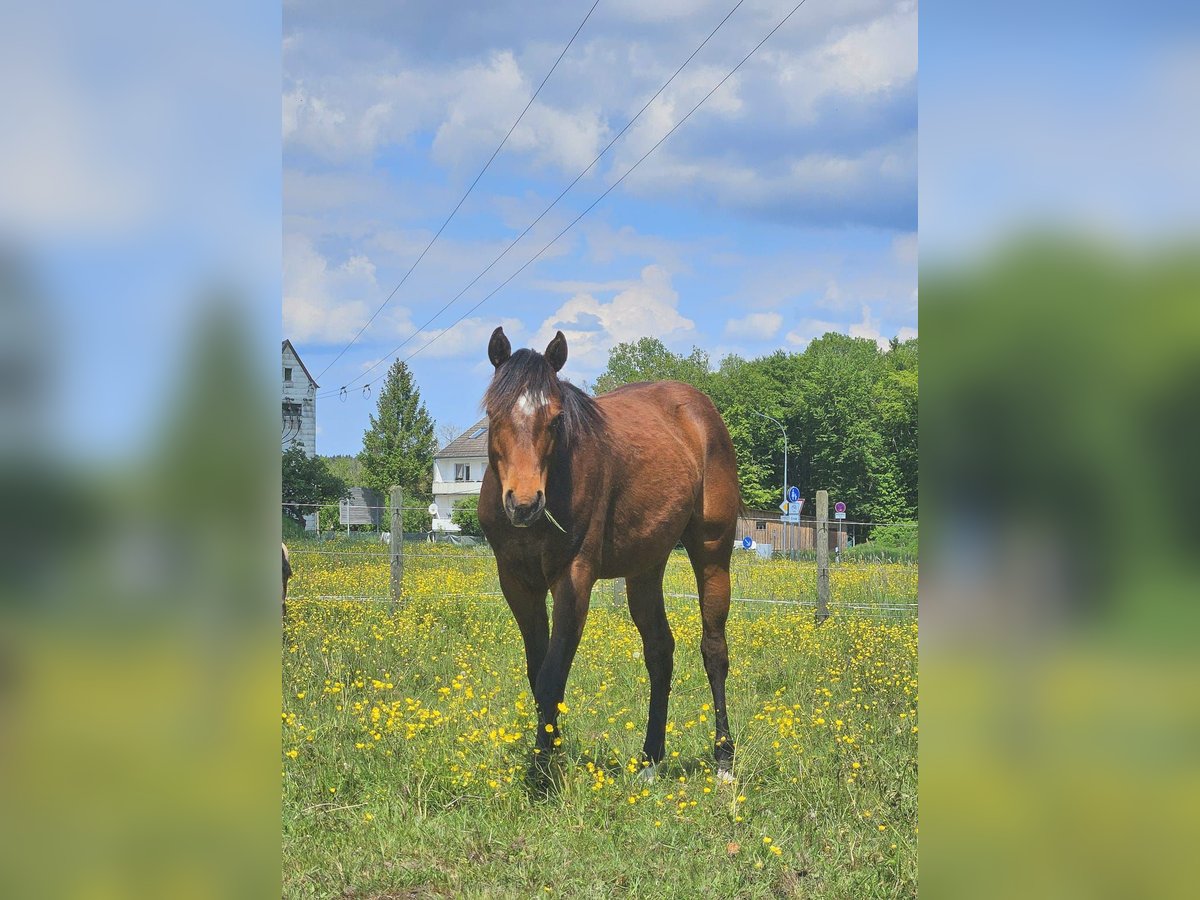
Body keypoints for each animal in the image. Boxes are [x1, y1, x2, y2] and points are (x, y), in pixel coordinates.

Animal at [477, 328, 739, 782]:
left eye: (556, 419)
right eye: (494, 415)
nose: (524, 504)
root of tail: (701, 411)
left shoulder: (574, 580)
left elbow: (552, 676)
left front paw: (544, 770)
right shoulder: (517, 583)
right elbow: (537, 672)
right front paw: (550, 753)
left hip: (712, 555)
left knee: (714, 650)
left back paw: (723, 758)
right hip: (646, 568)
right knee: (659, 651)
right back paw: (650, 758)